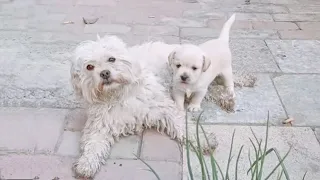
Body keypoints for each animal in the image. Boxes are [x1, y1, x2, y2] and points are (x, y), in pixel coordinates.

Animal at [69, 34, 215, 178]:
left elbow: (181, 123)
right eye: (89, 67)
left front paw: (202, 139)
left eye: (111, 59)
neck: (119, 94)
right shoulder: (101, 123)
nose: (105, 73)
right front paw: (87, 163)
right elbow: (93, 144)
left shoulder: (163, 107)